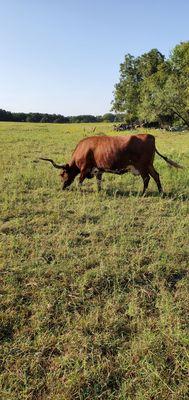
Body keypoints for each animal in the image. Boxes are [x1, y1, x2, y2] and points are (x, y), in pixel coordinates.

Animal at [39, 134, 183, 195]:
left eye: (62, 174)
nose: (62, 187)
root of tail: (150, 135)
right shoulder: (98, 170)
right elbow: (98, 181)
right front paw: (99, 191)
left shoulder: (85, 169)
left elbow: (80, 181)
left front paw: (80, 191)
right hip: (149, 165)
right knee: (156, 175)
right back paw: (160, 192)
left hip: (143, 166)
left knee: (147, 178)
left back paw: (142, 193)